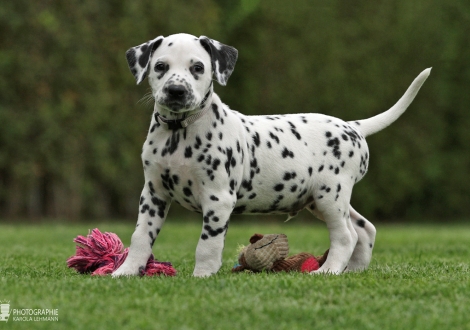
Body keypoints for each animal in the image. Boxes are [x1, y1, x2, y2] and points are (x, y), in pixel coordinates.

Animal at [113, 33, 430, 278]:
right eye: (160, 66)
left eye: (198, 67)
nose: (176, 90)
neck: (180, 132)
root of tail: (353, 127)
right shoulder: (153, 194)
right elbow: (140, 237)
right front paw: (126, 272)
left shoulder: (218, 199)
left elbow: (207, 244)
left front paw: (202, 276)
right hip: (321, 200)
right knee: (365, 229)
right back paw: (353, 270)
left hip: (331, 196)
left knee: (346, 235)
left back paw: (328, 270)